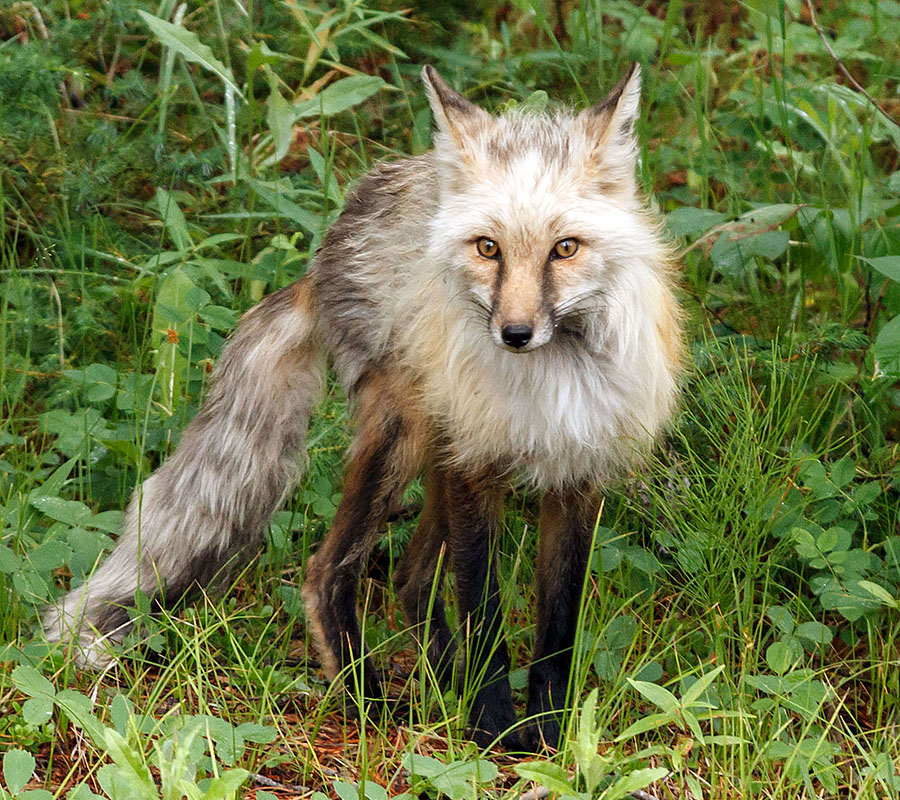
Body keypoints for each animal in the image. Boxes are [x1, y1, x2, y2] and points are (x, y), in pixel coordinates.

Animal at [42, 64, 684, 752]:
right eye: (488, 248)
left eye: (565, 248)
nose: (514, 334)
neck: (551, 382)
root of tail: (330, 241)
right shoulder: (475, 466)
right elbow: (484, 615)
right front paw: (491, 733)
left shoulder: (578, 474)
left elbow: (557, 629)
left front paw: (548, 736)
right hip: (404, 434)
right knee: (329, 570)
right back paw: (369, 703)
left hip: (431, 446)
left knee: (409, 576)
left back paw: (440, 681)